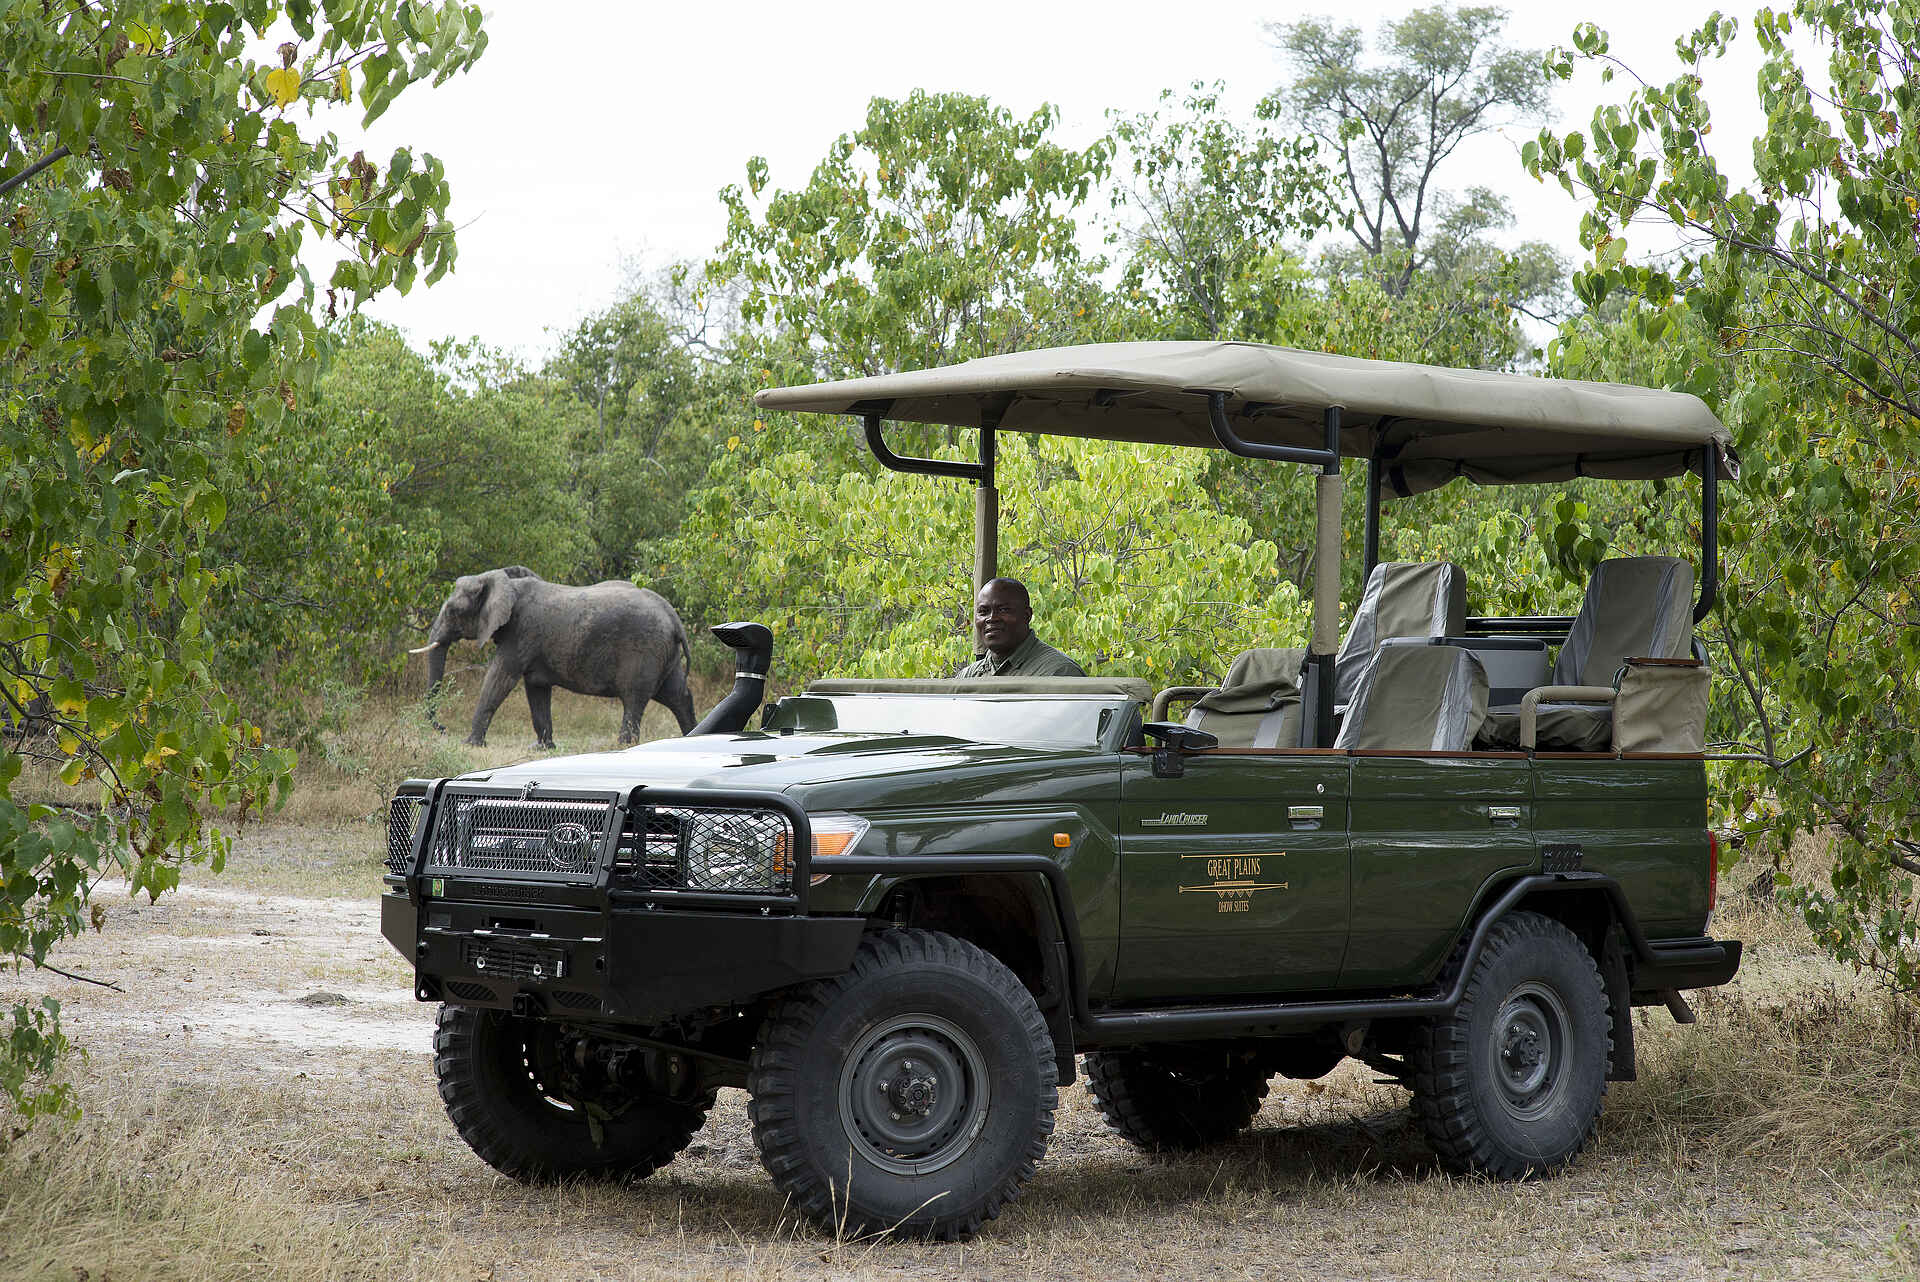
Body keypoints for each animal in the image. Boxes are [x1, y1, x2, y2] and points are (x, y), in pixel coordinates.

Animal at [411, 567, 695, 748]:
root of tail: (674, 617)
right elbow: (536, 688)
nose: (442, 728)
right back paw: (691, 737)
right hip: (663, 652)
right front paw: (542, 748)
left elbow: (499, 679)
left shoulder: (521, 632)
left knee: (634, 699)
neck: (504, 583)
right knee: (676, 695)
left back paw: (621, 748)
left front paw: (470, 744)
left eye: (452, 611)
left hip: (644, 649)